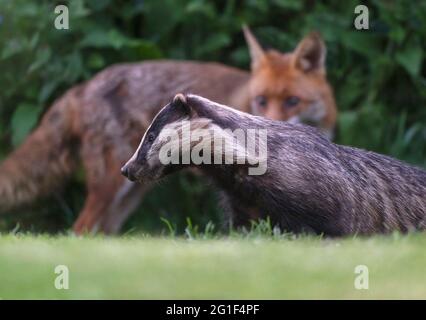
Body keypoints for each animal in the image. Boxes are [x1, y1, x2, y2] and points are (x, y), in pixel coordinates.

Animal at [0, 27, 336, 234]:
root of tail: (83, 86)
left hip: (131, 190)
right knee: (80, 229)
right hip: (112, 184)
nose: (268, 123)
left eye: (292, 101)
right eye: (261, 100)